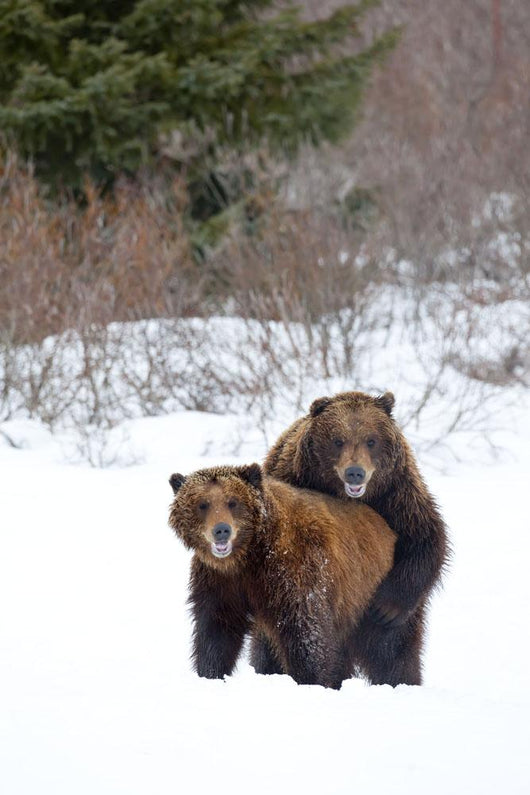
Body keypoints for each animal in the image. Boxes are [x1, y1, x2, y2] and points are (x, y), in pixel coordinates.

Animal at [168, 463, 396, 689]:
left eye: (233, 502)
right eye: (203, 504)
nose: (222, 530)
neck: (247, 555)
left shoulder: (292, 573)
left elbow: (305, 633)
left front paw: (310, 680)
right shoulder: (220, 581)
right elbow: (217, 629)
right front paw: (211, 673)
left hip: (372, 598)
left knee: (387, 649)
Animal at [253, 390, 449, 687]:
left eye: (371, 440)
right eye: (338, 440)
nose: (355, 472)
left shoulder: (397, 497)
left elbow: (426, 540)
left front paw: (387, 608)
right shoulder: (293, 484)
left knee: (394, 648)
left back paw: (401, 679)